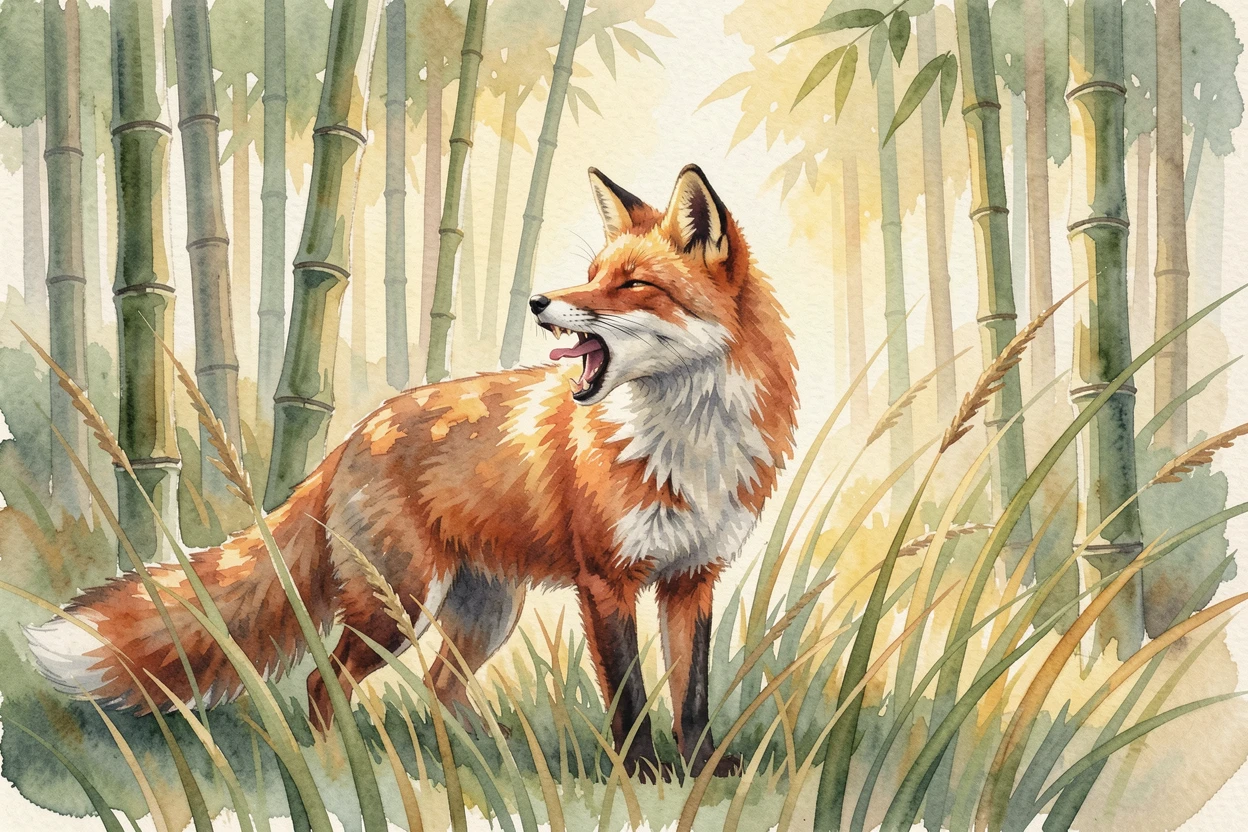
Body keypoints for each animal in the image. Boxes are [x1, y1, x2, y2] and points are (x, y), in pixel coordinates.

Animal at [25, 164, 798, 779]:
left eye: (633, 284)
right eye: (590, 277)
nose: (539, 303)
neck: (688, 443)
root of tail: (354, 434)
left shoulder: (692, 579)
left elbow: (691, 696)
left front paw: (703, 773)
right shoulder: (607, 581)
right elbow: (632, 698)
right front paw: (642, 778)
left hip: (483, 610)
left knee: (438, 687)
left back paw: (490, 760)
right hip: (398, 601)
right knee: (324, 682)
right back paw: (342, 772)